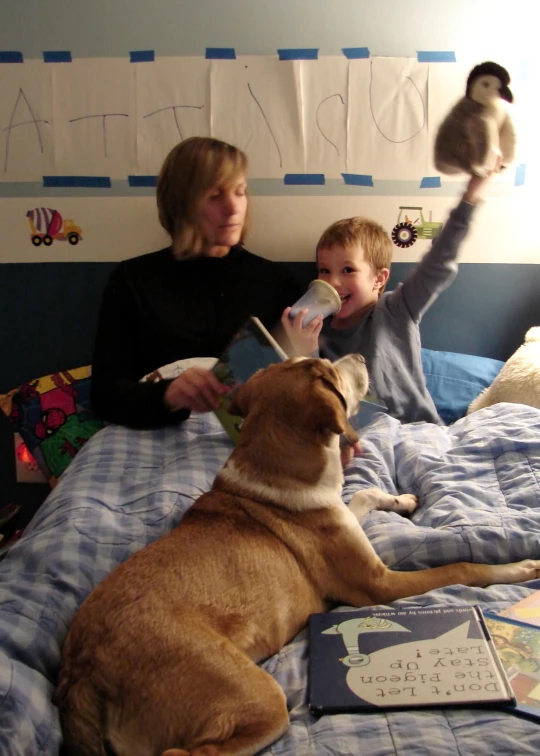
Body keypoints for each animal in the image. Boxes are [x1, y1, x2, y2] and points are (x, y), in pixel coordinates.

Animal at [56, 356, 540, 756]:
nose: (360, 354)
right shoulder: (378, 583)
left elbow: (362, 493)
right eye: (328, 371)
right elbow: (461, 565)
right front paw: (519, 566)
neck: (277, 466)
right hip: (260, 698)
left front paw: (401, 499)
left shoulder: (345, 518)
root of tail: (79, 667)